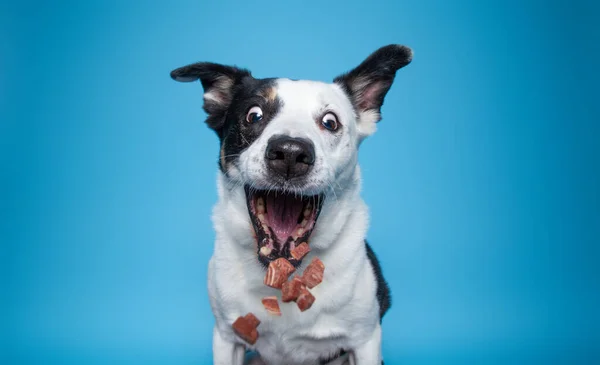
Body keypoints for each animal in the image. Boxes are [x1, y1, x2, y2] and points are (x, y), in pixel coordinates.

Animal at [170, 44, 412, 362]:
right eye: (254, 115)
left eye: (330, 122)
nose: (289, 153)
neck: (286, 277)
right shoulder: (226, 337)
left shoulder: (365, 341)